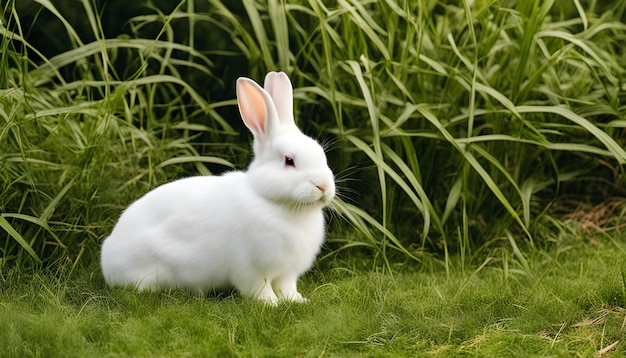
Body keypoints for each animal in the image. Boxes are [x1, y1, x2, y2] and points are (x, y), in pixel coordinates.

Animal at [101, 71, 336, 304]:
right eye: (289, 160)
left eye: (321, 154)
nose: (323, 186)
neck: (272, 201)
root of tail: (106, 257)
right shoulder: (251, 270)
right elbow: (260, 290)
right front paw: (272, 305)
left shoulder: (287, 273)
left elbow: (287, 288)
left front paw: (299, 301)